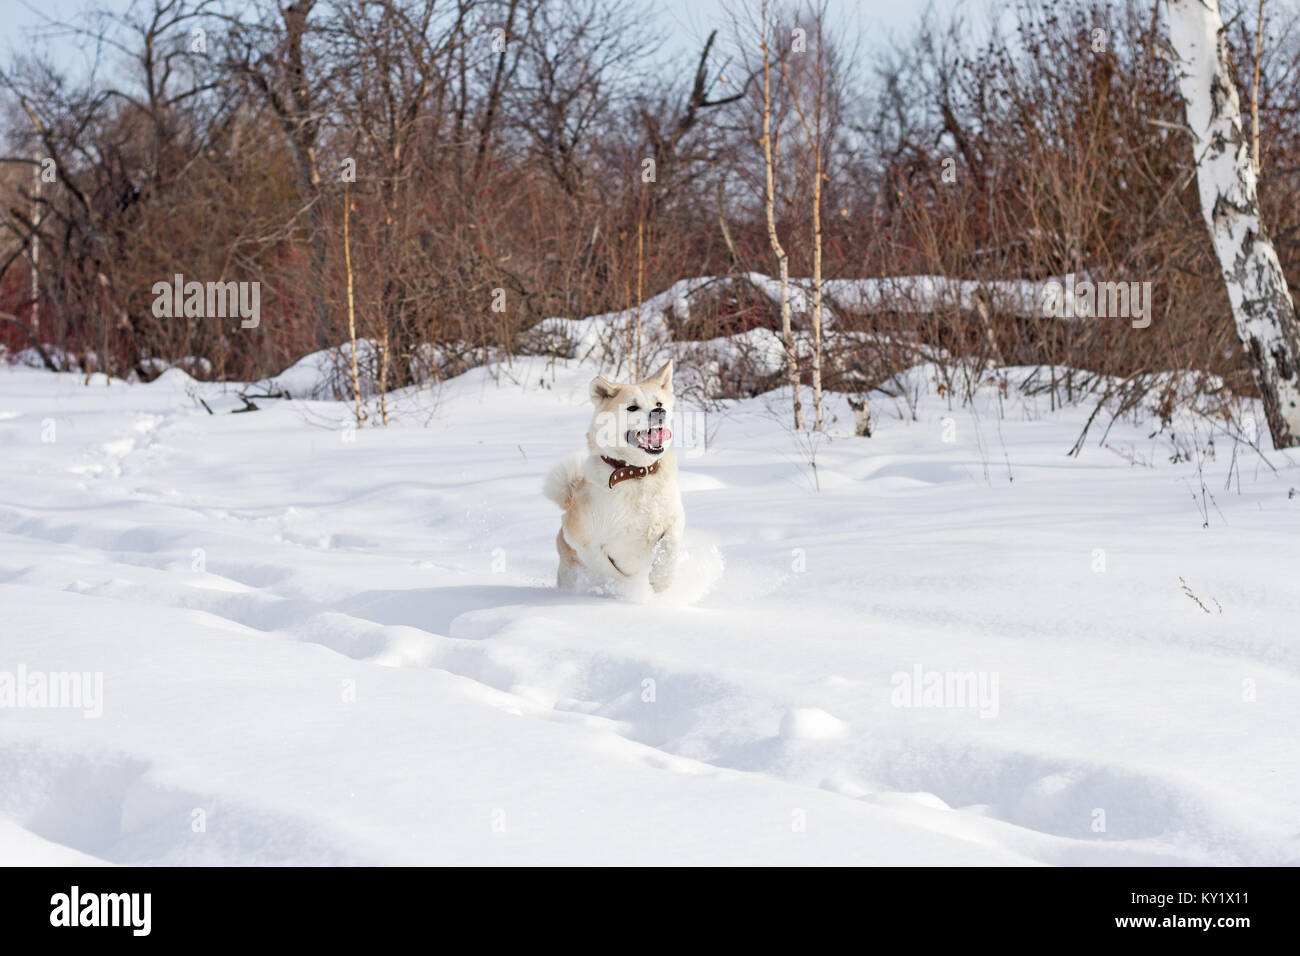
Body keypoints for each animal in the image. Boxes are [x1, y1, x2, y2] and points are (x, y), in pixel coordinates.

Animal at [543, 361, 686, 595]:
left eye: (658, 402)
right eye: (632, 407)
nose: (660, 411)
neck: (637, 473)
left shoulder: (674, 519)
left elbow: (670, 545)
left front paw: (660, 581)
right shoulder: (585, 543)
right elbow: (614, 575)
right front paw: (630, 593)